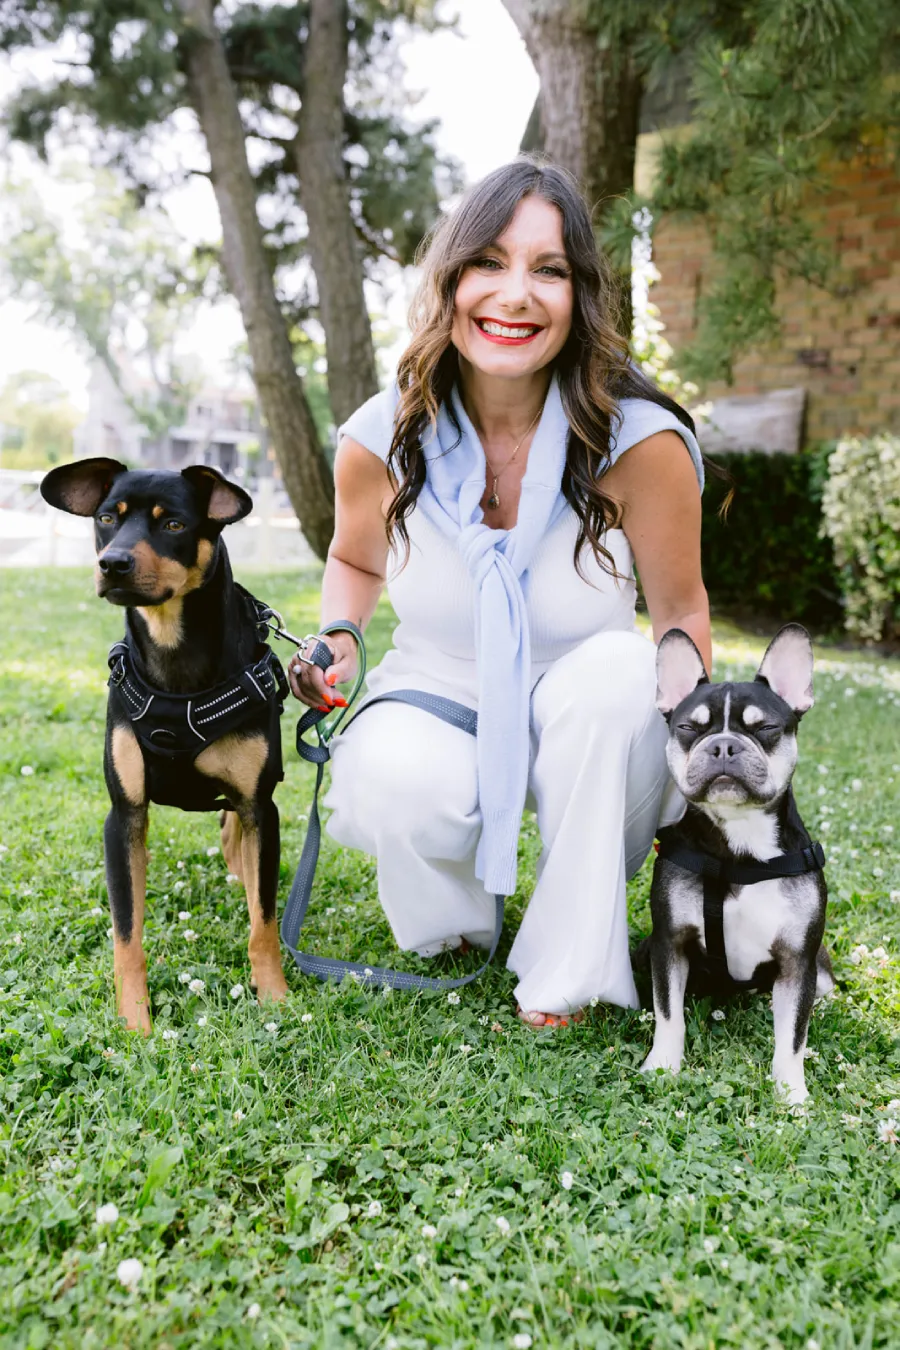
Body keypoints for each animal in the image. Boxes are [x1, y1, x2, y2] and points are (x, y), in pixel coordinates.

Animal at [42, 459, 288, 1026]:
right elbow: (126, 931)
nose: (112, 563)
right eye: (107, 518)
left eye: (173, 524)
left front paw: (276, 997)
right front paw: (134, 1021)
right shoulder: (124, 814)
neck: (175, 658)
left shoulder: (260, 807)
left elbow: (264, 921)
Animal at [639, 626, 836, 1101]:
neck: (739, 849)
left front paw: (791, 1094)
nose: (724, 745)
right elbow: (668, 1013)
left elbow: (793, 1035)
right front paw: (663, 1066)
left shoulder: (797, 962)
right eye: (688, 728)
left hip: (819, 969)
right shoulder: (668, 944)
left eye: (764, 728)